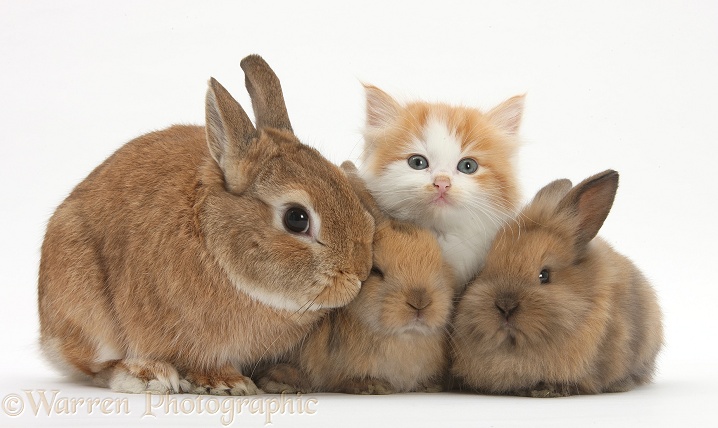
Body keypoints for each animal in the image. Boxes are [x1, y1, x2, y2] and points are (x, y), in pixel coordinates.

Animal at [38, 55, 376, 396]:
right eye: (297, 218)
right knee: (97, 365)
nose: (359, 272)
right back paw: (147, 375)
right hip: (87, 307)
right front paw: (227, 384)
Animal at [258, 161, 456, 394]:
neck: (405, 337)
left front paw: (429, 387)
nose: (420, 302)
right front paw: (374, 386)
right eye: (376, 271)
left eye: (439, 265)